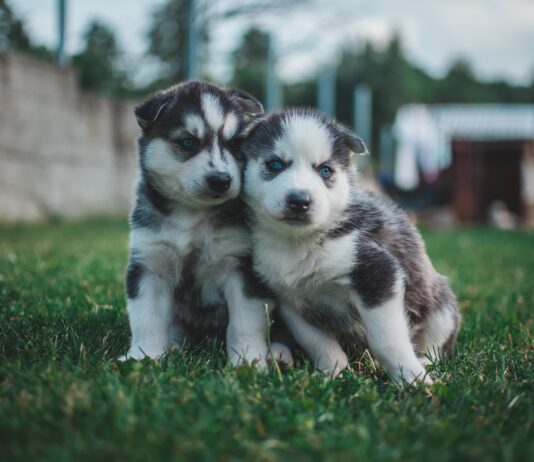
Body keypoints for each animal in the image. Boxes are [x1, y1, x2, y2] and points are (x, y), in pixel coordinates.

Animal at [121, 81, 272, 366]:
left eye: (233, 143)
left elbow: (245, 322)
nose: (221, 180)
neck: (191, 215)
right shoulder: (150, 263)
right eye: (189, 142)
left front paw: (247, 360)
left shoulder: (240, 266)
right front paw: (144, 356)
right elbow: (146, 319)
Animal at [241, 107, 462, 382]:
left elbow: (386, 341)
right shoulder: (291, 300)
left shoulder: (378, 274)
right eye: (275, 164)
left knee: (437, 343)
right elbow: (316, 341)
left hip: (441, 306)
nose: (300, 201)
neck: (298, 242)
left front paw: (412, 379)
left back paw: (425, 361)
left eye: (325, 170)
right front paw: (332, 372)